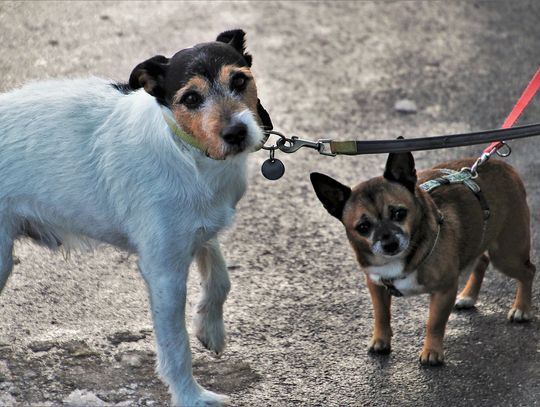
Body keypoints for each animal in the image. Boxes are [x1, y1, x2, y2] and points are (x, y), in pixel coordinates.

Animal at [0, 30, 272, 406]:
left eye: (240, 80)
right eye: (191, 98)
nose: (236, 133)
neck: (187, 152)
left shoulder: (196, 231)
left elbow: (220, 277)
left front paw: (210, 329)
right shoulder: (164, 271)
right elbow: (176, 346)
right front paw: (191, 396)